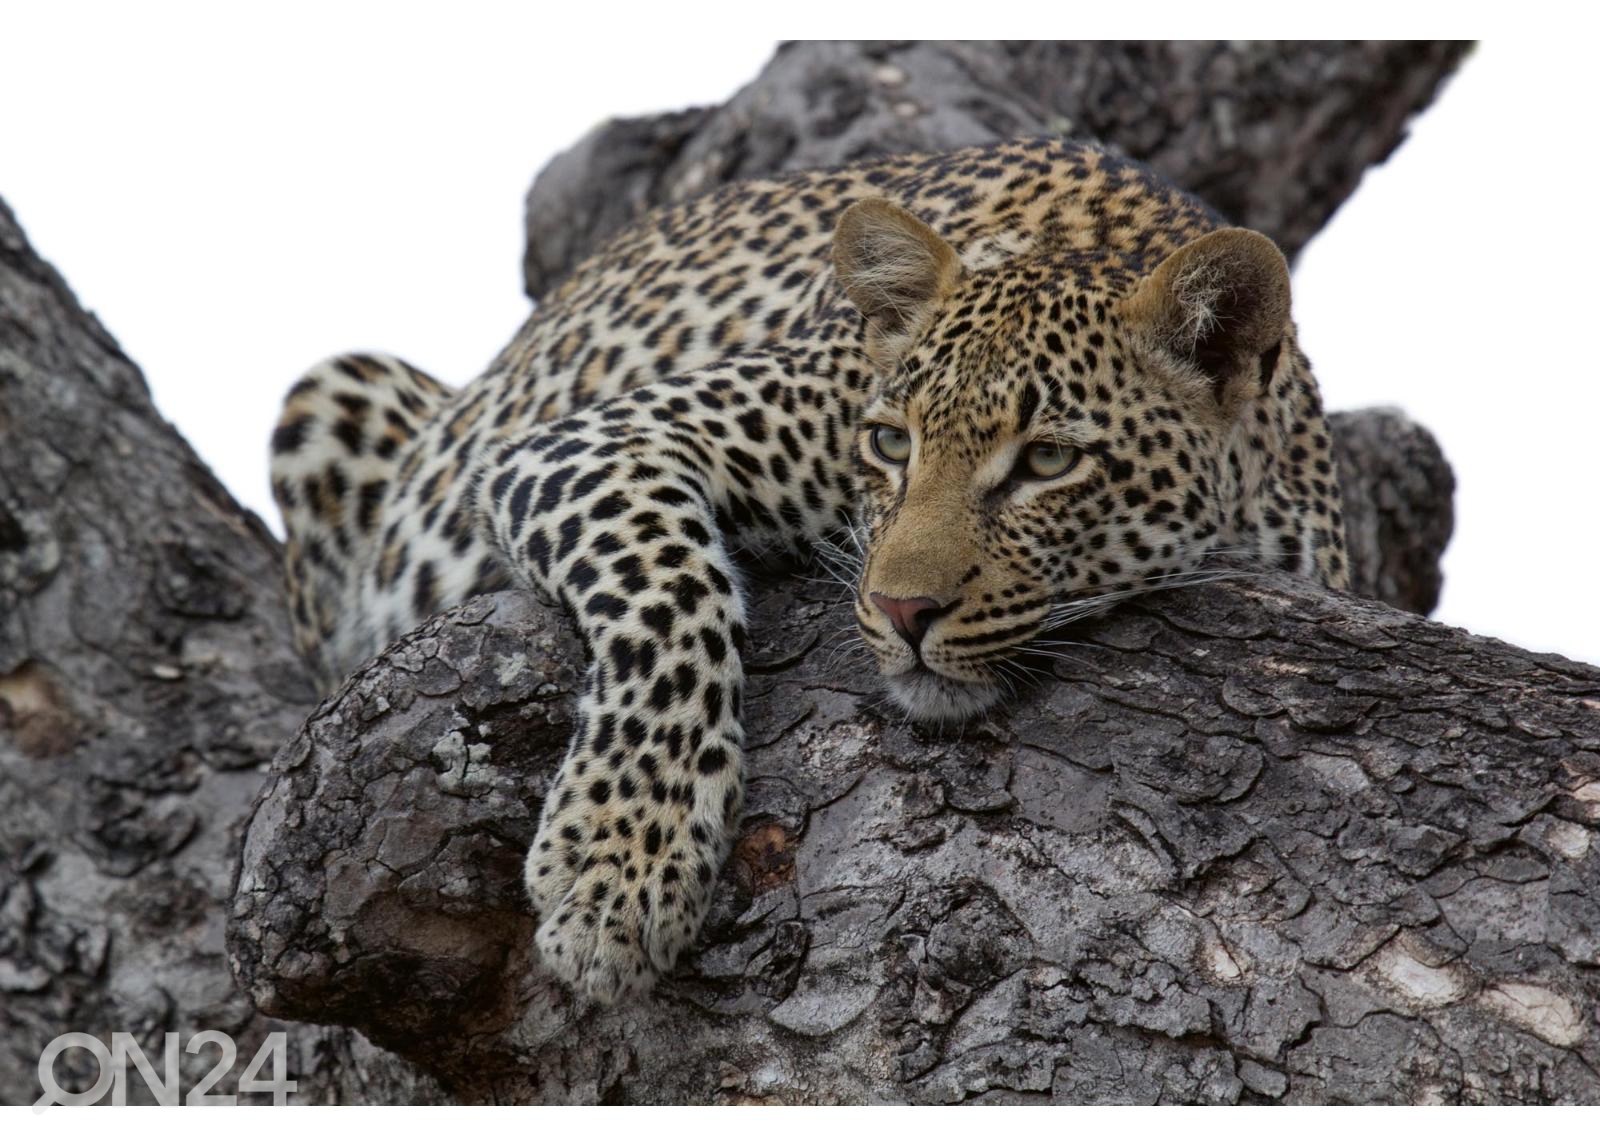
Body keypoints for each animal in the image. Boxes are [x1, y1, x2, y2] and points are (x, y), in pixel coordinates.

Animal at [269, 136, 1349, 1004]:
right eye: (889, 443)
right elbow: (673, 594)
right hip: (333, 393)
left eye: (1047, 460)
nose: (902, 609)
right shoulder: (587, 441)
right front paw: (620, 865)